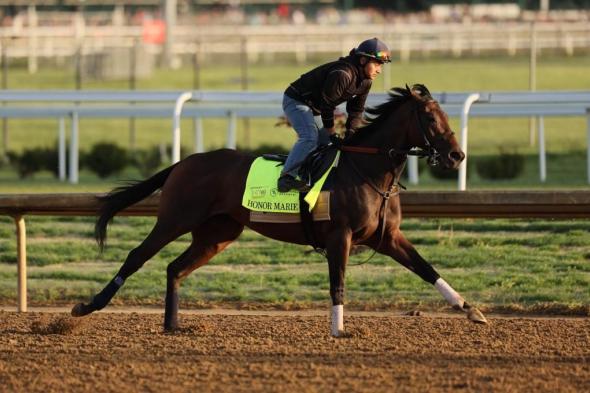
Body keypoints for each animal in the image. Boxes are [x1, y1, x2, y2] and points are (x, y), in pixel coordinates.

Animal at [71, 84, 488, 336]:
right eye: (431, 118)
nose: (457, 155)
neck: (367, 169)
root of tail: (184, 162)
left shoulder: (387, 238)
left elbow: (427, 269)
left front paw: (471, 310)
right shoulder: (340, 237)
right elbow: (337, 283)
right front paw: (339, 329)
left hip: (218, 233)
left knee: (175, 268)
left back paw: (174, 326)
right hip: (175, 218)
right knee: (137, 255)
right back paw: (88, 306)